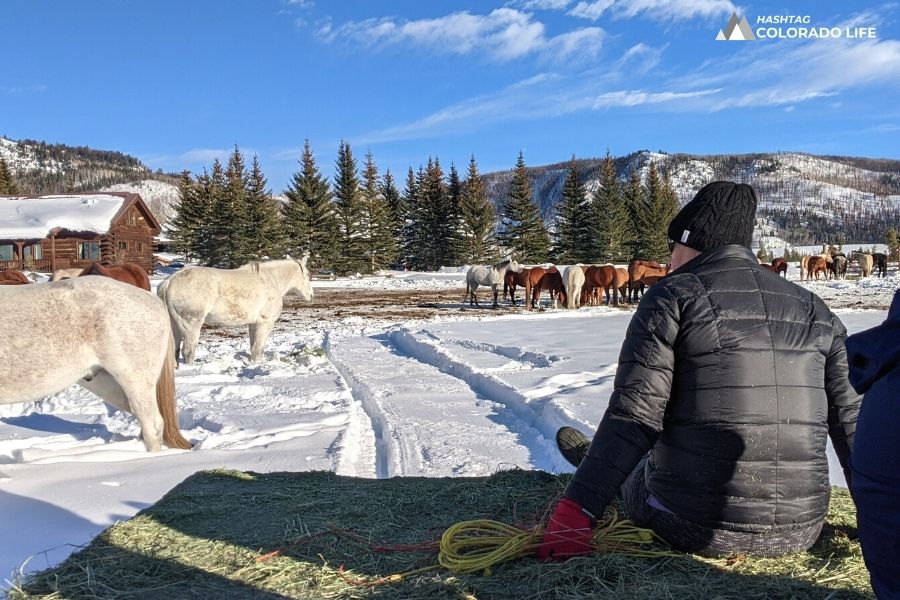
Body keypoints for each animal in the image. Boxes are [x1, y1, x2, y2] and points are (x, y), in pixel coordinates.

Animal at [160, 256, 314, 364]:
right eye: (307, 274)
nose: (311, 295)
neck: (272, 279)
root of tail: (169, 282)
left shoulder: (253, 324)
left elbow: (253, 347)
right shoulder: (265, 322)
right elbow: (259, 347)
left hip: (174, 326)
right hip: (191, 324)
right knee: (188, 351)